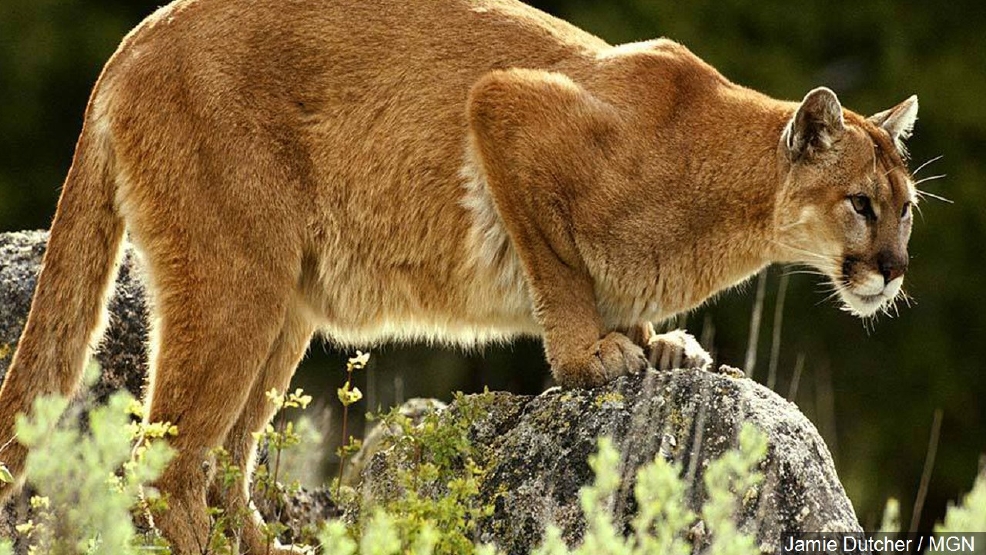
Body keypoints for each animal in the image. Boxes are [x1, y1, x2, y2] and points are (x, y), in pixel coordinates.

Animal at [0, 0, 916, 552]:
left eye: (908, 210)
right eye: (861, 204)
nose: (895, 271)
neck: (731, 197)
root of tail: (141, 30)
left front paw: (659, 346)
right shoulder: (507, 109)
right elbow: (560, 269)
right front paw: (592, 356)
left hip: (284, 303)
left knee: (225, 456)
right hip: (236, 281)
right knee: (165, 466)